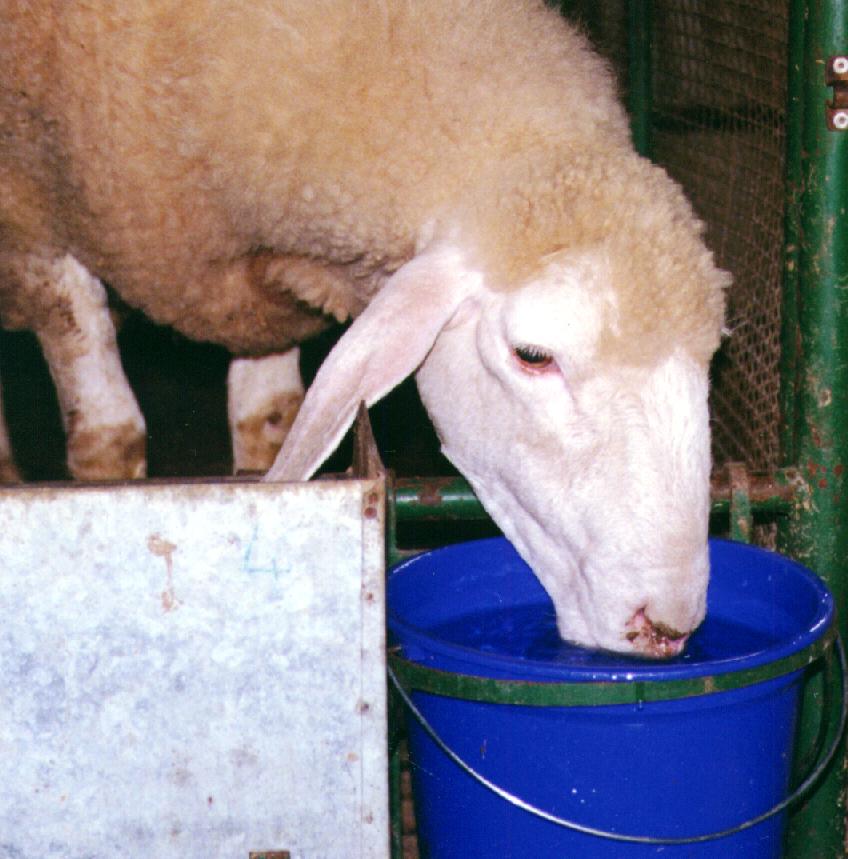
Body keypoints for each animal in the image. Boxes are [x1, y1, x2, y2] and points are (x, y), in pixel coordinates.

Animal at [0, 0, 727, 656]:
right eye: (533, 354)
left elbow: (270, 422)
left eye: (710, 357)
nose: (667, 624)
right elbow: (108, 444)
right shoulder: (39, 238)